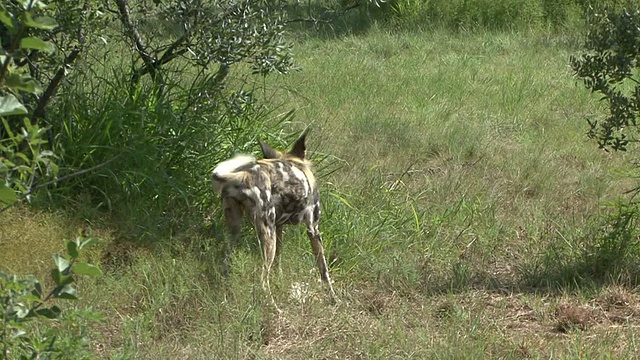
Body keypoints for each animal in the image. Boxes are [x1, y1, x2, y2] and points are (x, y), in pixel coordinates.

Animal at [211, 131, 340, 306]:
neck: (295, 163)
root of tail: (243, 175)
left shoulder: (279, 227)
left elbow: (278, 262)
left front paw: (279, 280)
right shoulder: (313, 229)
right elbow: (324, 271)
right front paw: (334, 299)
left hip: (235, 232)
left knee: (226, 266)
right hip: (267, 237)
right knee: (262, 280)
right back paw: (274, 307)